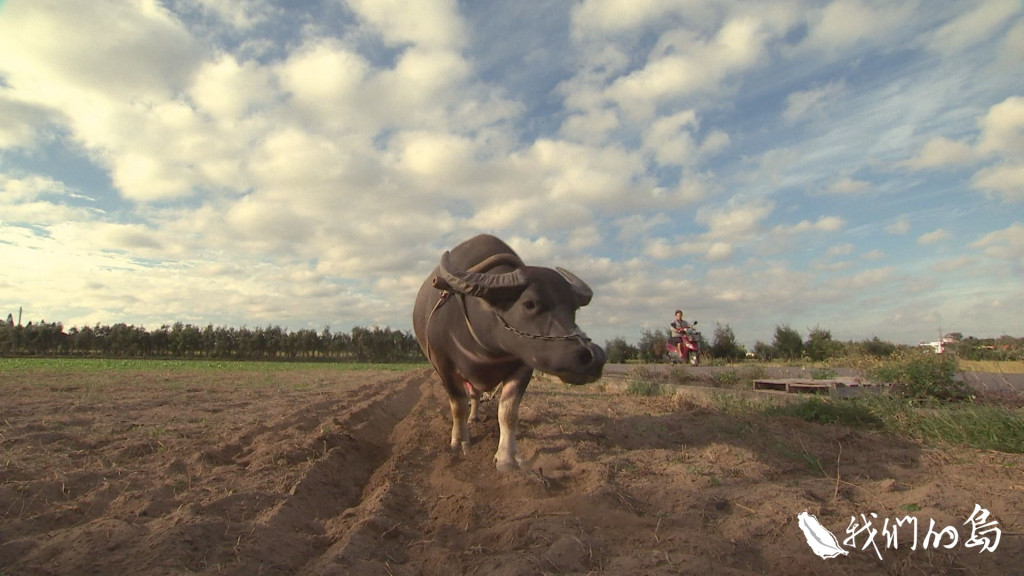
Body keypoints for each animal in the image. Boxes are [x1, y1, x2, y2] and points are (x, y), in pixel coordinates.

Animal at [413, 234, 606, 471]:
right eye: (529, 303)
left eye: (574, 309)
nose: (593, 357)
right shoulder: (444, 365)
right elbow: (458, 405)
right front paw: (459, 442)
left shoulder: (523, 366)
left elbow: (508, 412)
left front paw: (507, 458)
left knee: (476, 394)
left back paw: (475, 417)